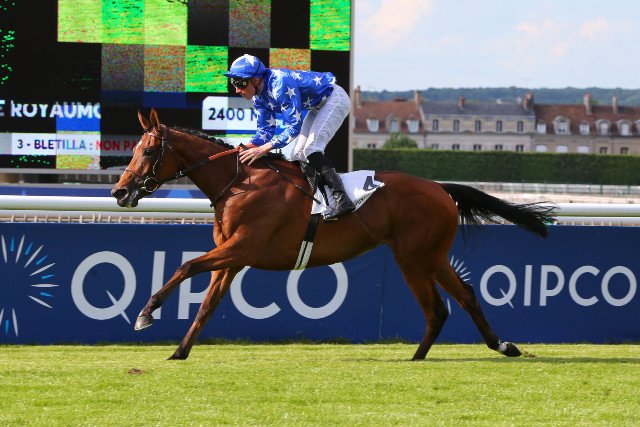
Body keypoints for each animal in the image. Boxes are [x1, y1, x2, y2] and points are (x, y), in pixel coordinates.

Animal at [112, 109, 555, 361]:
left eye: (148, 151)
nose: (120, 192)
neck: (240, 181)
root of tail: (441, 188)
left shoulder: (241, 248)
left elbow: (184, 267)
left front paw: (146, 314)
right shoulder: (232, 257)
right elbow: (205, 305)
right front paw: (179, 352)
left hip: (414, 259)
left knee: (437, 308)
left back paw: (420, 357)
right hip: (431, 257)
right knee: (462, 297)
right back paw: (498, 346)